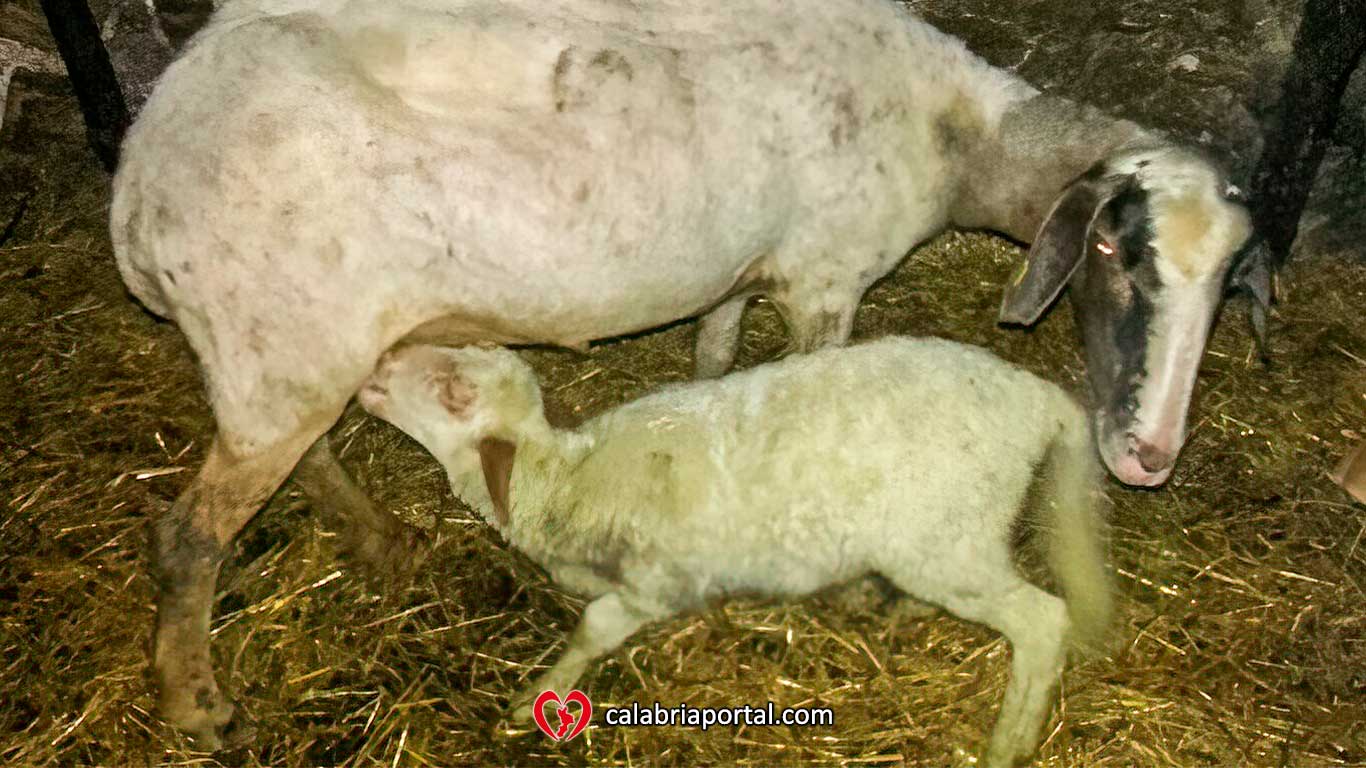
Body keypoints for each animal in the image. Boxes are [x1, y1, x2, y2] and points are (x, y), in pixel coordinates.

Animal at [357, 338, 1114, 768]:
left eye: (454, 393)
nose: (378, 366)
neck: (568, 482)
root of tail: (1038, 400)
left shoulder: (658, 583)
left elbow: (593, 627)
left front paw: (536, 695)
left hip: (947, 542)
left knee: (1043, 621)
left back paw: (1009, 742)